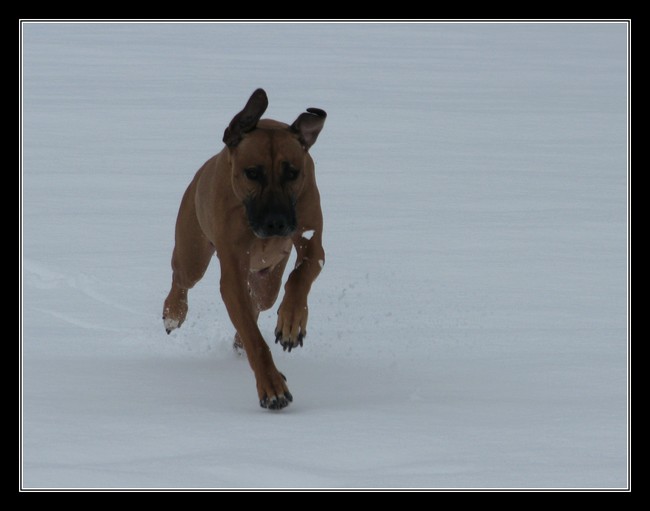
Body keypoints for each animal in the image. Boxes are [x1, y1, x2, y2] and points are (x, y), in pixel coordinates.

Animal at [162, 90, 324, 410]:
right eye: (252, 173)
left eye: (292, 173)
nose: (276, 222)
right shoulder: (233, 273)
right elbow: (254, 339)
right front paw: (272, 387)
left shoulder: (313, 238)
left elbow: (301, 275)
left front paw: (292, 322)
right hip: (193, 250)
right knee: (181, 277)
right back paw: (173, 311)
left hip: (267, 278)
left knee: (261, 299)